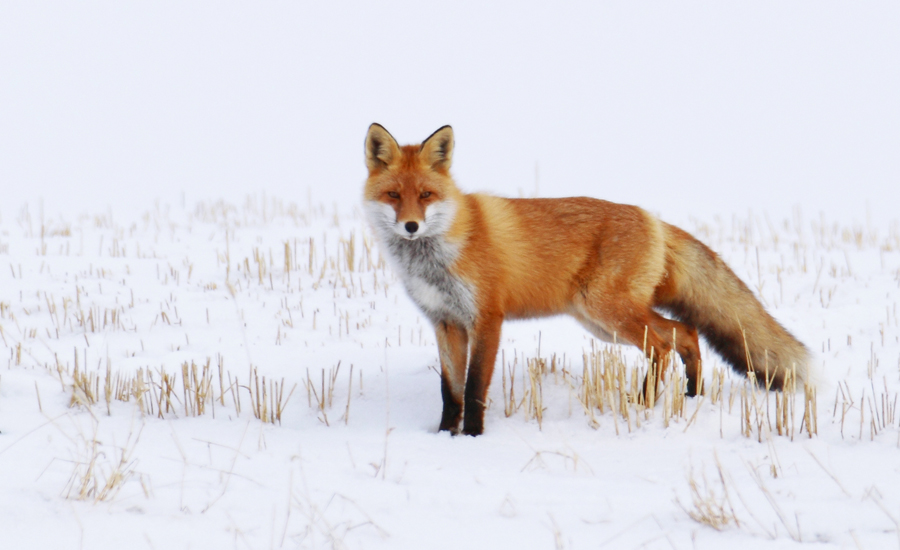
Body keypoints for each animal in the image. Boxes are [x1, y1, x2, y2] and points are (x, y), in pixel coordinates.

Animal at [362, 124, 812, 436]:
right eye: (393, 195)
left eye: (425, 195)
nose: (411, 226)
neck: (437, 255)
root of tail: (653, 219)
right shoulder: (446, 323)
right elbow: (450, 392)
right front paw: (444, 436)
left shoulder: (487, 318)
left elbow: (474, 388)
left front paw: (472, 437)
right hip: (601, 322)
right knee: (684, 332)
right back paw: (690, 396)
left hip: (607, 311)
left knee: (664, 343)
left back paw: (644, 404)